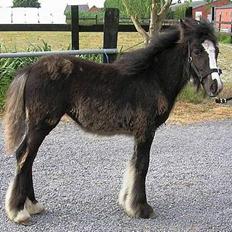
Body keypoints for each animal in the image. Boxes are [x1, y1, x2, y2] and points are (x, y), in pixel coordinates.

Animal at [2, 19, 222, 224]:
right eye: (197, 51)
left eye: (217, 51)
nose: (215, 86)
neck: (153, 78)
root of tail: (30, 69)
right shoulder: (146, 131)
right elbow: (142, 165)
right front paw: (141, 208)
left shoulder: (139, 133)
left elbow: (134, 163)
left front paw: (128, 203)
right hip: (41, 124)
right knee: (24, 156)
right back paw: (19, 211)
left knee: (27, 157)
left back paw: (33, 205)